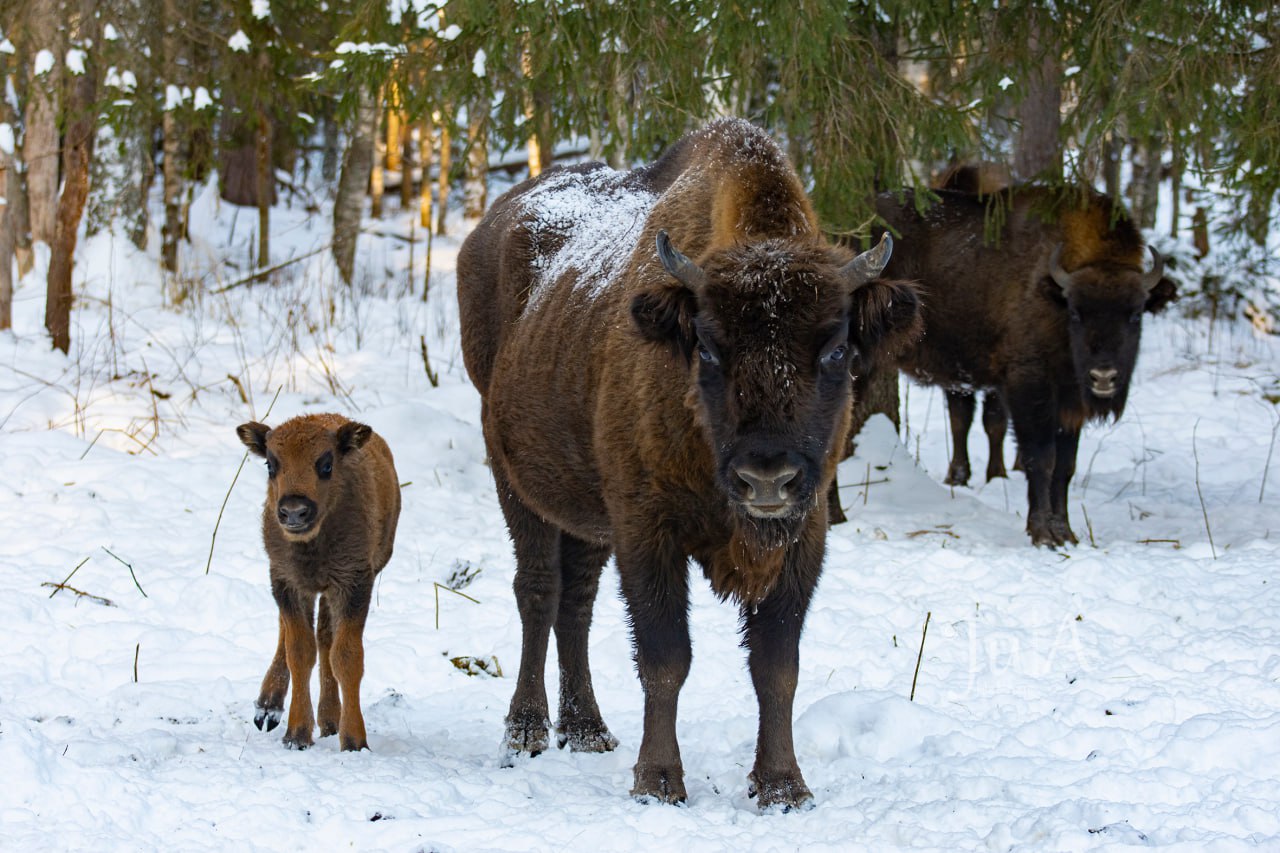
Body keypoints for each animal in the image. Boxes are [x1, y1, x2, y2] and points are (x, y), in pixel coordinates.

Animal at [235, 412, 401, 753]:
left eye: (326, 464)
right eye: (271, 464)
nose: (294, 512)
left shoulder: (353, 583)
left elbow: (346, 656)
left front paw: (353, 740)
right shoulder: (286, 581)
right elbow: (299, 650)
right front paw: (296, 734)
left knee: (325, 636)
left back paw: (329, 719)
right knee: (295, 634)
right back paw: (269, 708)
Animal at [875, 183, 1172, 548]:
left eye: (1135, 314)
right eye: (1076, 313)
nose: (1103, 377)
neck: (1052, 296)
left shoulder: (1070, 406)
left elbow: (1066, 467)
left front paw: (1067, 533)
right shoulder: (1029, 388)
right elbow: (1041, 458)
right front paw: (1043, 534)